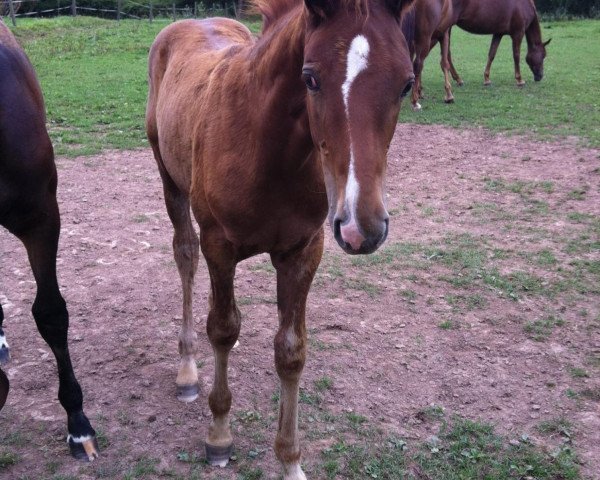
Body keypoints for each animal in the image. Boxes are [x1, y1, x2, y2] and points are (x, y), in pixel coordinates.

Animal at [148, 0, 414, 476]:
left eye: (406, 83)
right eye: (309, 77)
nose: (361, 227)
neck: (266, 148)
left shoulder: (303, 251)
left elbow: (291, 351)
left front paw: (291, 462)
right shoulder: (220, 246)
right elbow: (223, 329)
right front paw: (219, 435)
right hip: (170, 180)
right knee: (185, 256)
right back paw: (187, 369)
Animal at [410, 0, 552, 109]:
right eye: (543, 56)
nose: (540, 76)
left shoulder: (498, 33)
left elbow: (492, 54)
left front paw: (487, 78)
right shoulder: (518, 33)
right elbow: (516, 56)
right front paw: (519, 79)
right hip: (435, 33)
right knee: (422, 59)